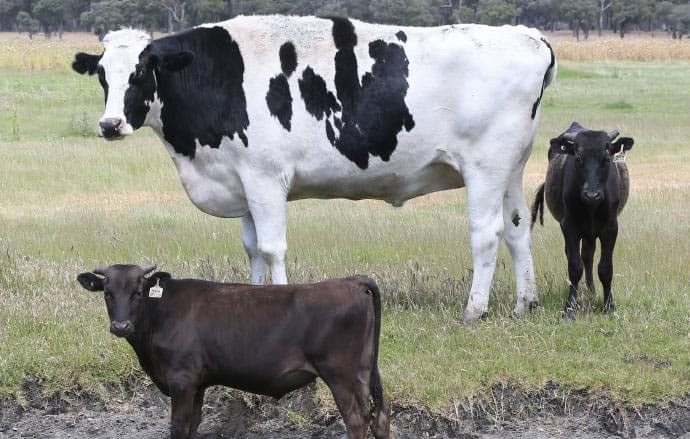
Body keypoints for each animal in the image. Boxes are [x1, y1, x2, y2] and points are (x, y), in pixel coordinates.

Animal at [72, 16, 552, 324]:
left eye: (141, 71)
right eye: (102, 75)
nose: (110, 125)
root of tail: (526, 35)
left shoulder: (265, 178)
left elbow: (271, 248)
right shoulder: (242, 180)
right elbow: (251, 249)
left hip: (484, 167)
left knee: (486, 233)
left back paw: (474, 311)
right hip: (511, 167)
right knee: (516, 227)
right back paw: (524, 304)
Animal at [78, 264, 390, 439]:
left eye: (138, 292)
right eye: (107, 293)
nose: (121, 325)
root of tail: (352, 281)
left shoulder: (181, 380)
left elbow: (179, 428)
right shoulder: (198, 383)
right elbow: (193, 426)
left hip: (340, 374)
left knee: (357, 421)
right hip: (364, 370)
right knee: (380, 418)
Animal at [532, 122, 636, 318]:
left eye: (606, 158)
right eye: (579, 158)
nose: (592, 194)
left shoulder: (611, 228)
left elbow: (605, 268)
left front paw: (609, 305)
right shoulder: (569, 227)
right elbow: (574, 266)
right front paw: (570, 307)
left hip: (591, 233)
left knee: (588, 255)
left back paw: (591, 291)